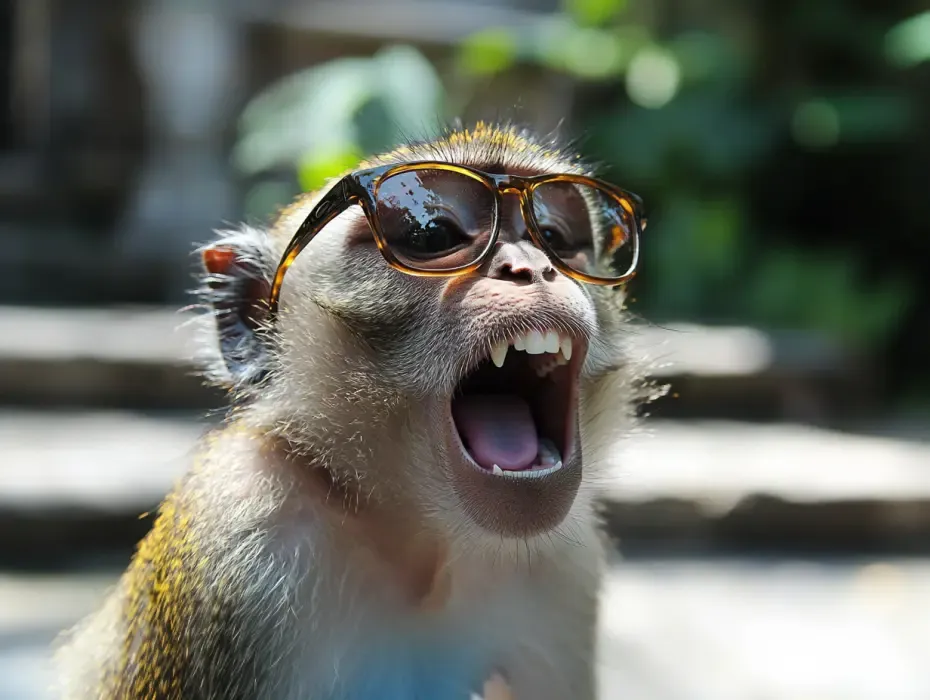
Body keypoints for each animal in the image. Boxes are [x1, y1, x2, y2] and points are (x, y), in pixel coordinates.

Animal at [54, 121, 650, 699]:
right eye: (432, 235)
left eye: (556, 239)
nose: (532, 267)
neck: (419, 543)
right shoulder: (236, 533)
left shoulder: (568, 570)